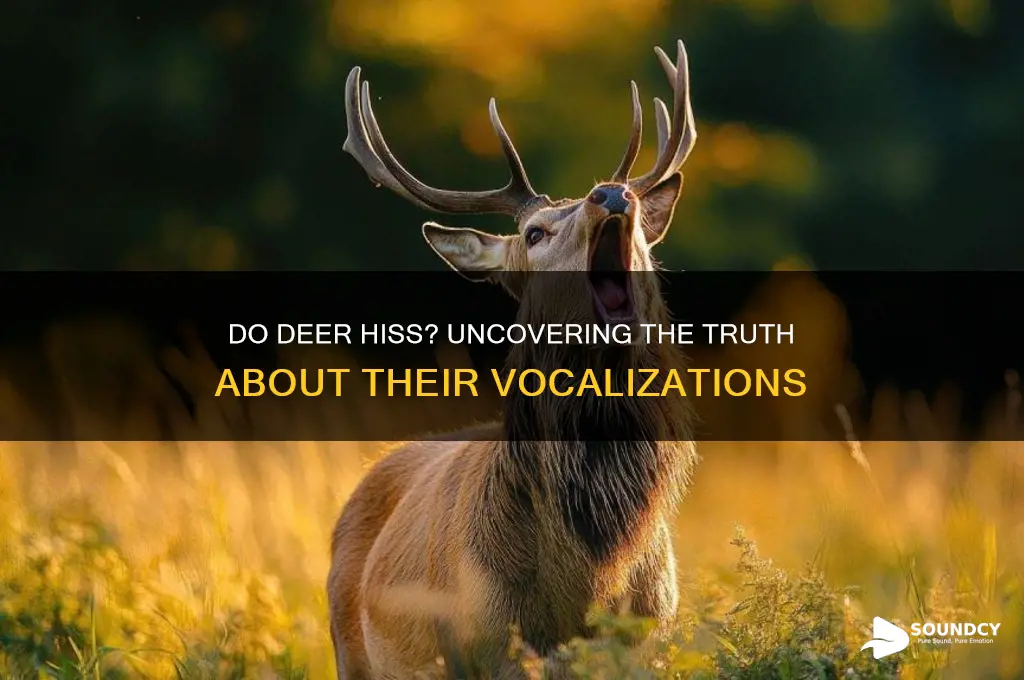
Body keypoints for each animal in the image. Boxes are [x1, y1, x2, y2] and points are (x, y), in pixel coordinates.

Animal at [328, 40, 699, 679]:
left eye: (643, 239)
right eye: (534, 233)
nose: (611, 193)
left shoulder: (651, 637)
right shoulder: (484, 649)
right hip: (350, 649)